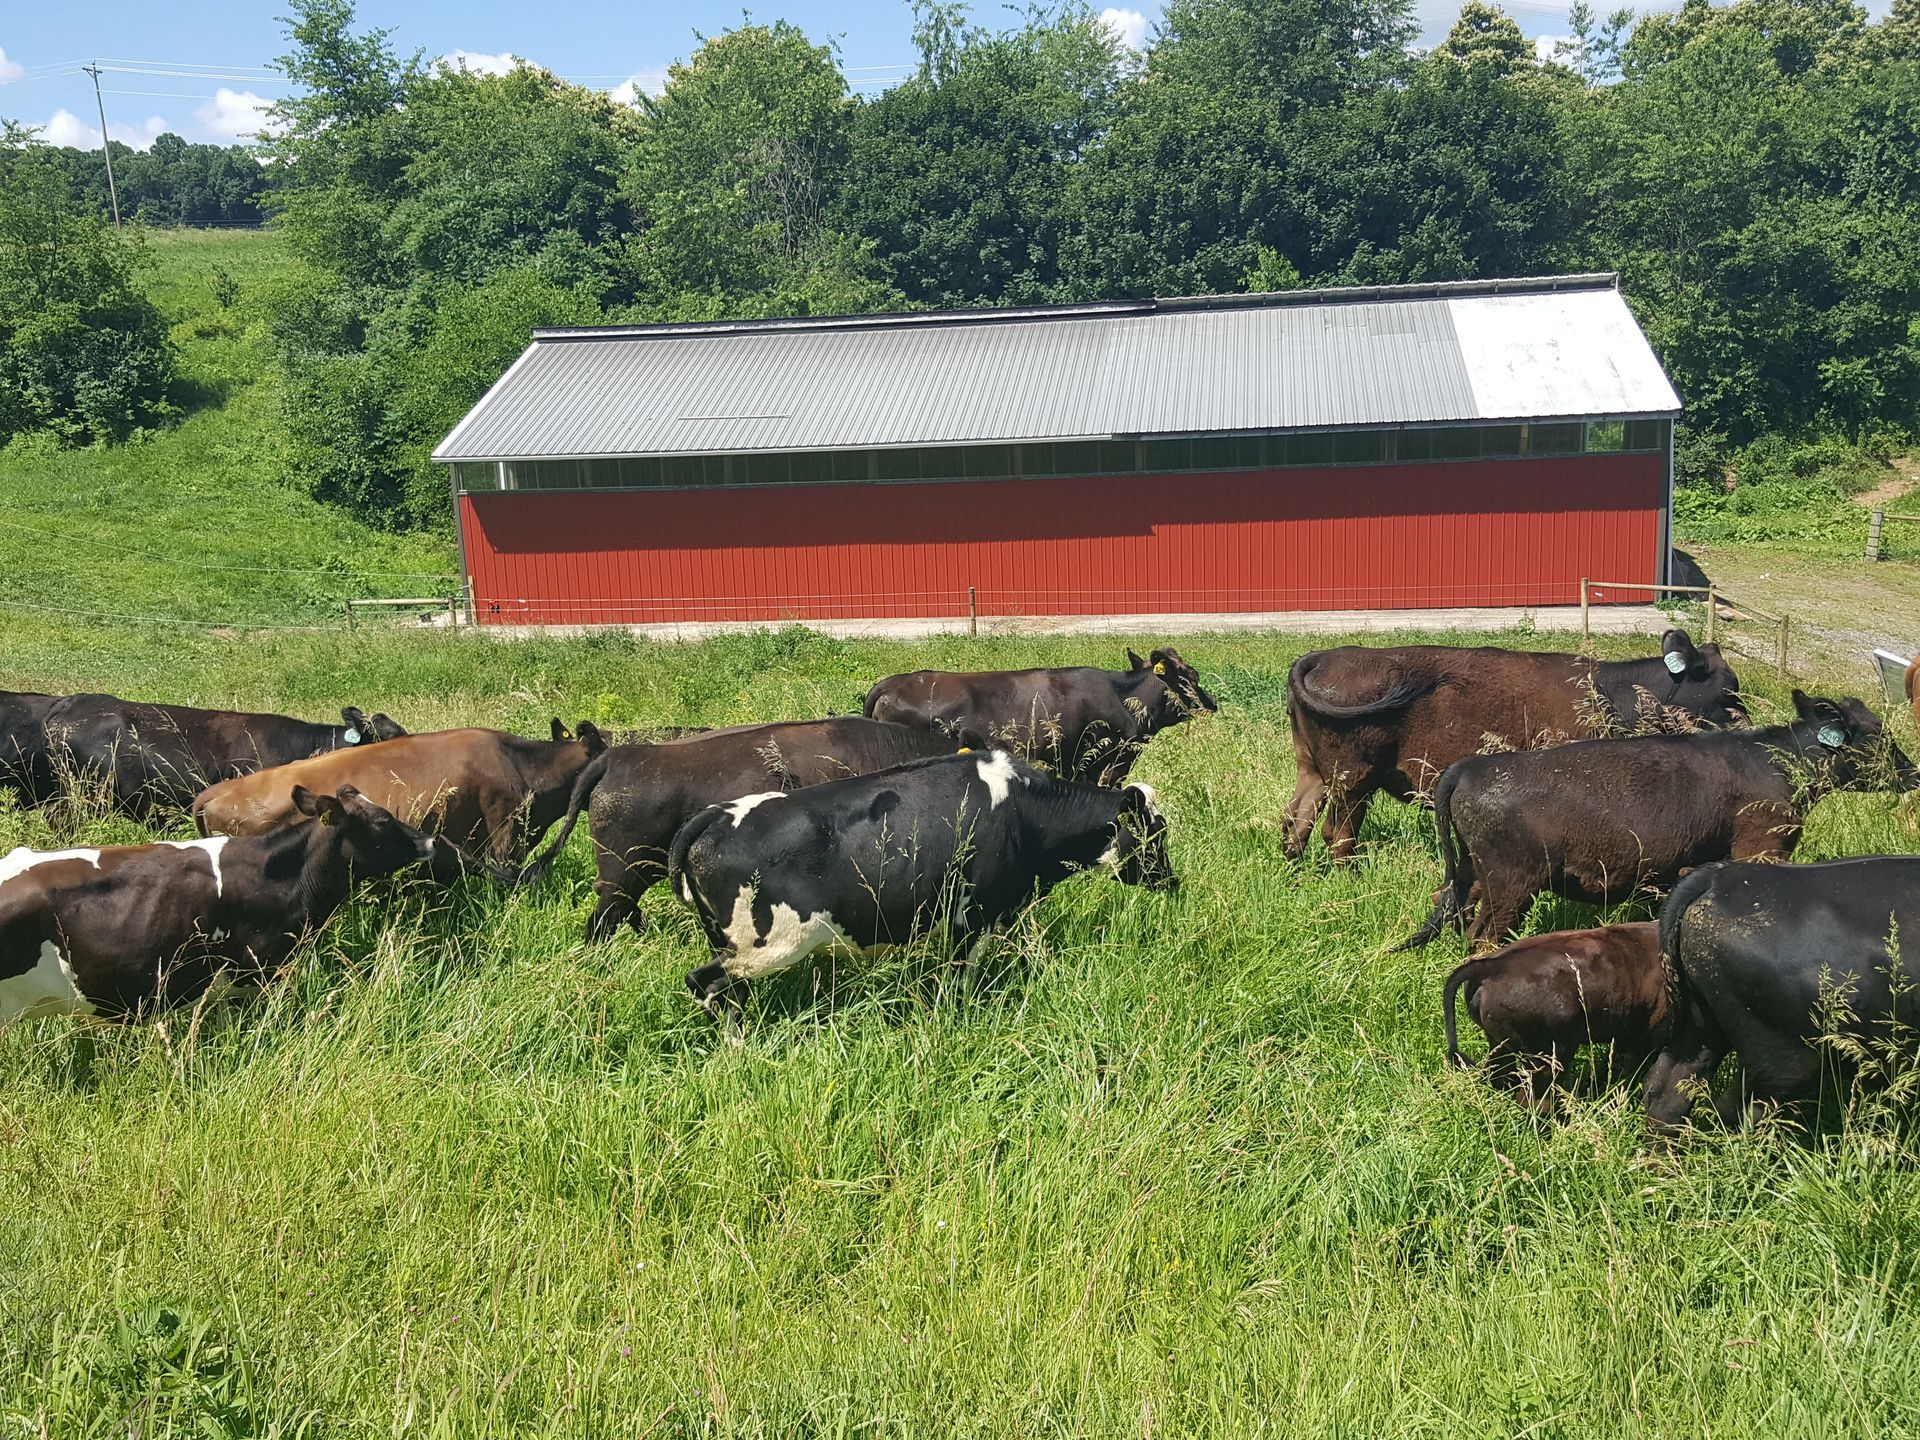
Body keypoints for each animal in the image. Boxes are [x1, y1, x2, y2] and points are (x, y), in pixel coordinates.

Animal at [667, 749, 1177, 1028]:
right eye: (1157, 831)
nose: (1173, 882)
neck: (1024, 813)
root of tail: (716, 814)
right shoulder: (972, 917)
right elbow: (958, 980)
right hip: (764, 946)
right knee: (704, 983)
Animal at [1284, 629, 1745, 861]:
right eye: (1727, 691)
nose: (1745, 726)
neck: (1609, 693)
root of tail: (1322, 657)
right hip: (1353, 780)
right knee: (1336, 834)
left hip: (1314, 771)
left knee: (1296, 823)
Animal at [1398, 690, 1916, 952]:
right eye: (1877, 736)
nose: (1912, 771)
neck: (1775, 761)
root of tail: (1470, 767)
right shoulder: (1763, 846)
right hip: (1511, 882)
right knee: (1483, 937)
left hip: (1475, 874)